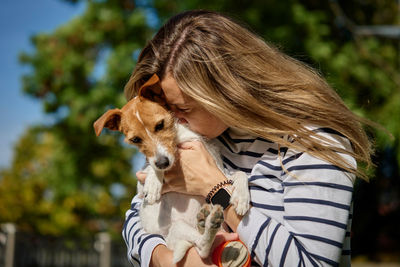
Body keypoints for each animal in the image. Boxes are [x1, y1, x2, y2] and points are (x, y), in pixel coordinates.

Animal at [94, 75, 250, 264]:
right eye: (135, 139)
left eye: (160, 125)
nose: (162, 162)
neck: (182, 138)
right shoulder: (141, 182)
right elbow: (149, 171)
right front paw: (154, 182)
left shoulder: (219, 168)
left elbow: (241, 174)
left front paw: (241, 197)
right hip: (178, 228)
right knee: (201, 248)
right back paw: (207, 223)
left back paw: (206, 221)